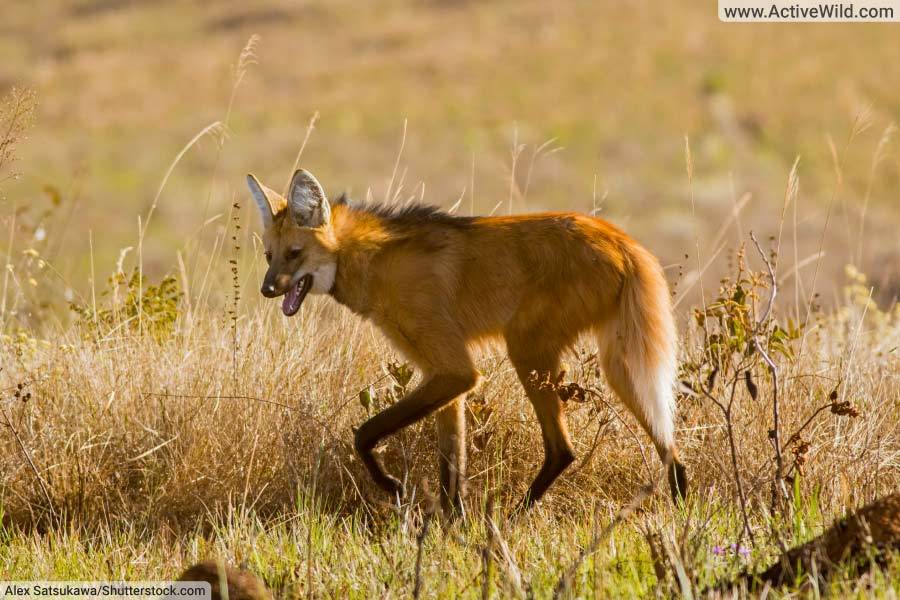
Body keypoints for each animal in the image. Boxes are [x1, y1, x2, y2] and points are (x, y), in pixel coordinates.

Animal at [246, 168, 688, 510]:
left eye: (294, 254)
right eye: (269, 256)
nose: (266, 290)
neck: (375, 264)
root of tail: (623, 241)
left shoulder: (455, 371)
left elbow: (364, 434)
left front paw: (392, 486)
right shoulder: (445, 377)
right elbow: (451, 471)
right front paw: (451, 529)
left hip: (527, 350)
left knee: (563, 450)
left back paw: (514, 518)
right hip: (617, 366)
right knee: (668, 446)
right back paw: (681, 509)